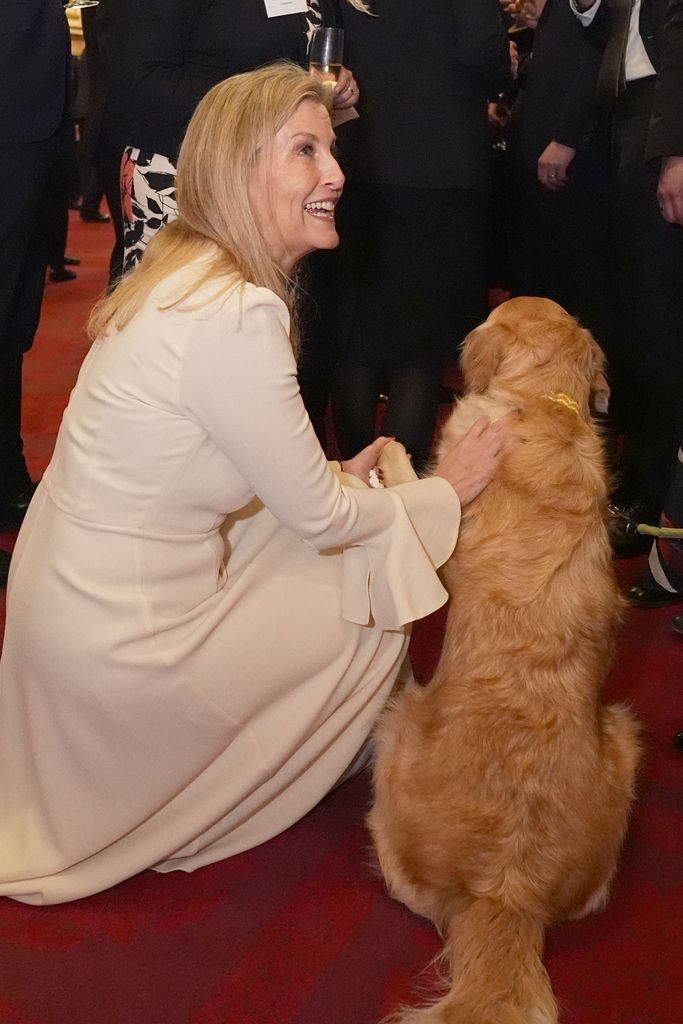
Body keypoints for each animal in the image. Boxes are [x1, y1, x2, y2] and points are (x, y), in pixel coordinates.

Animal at [368, 296, 643, 1024]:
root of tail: (506, 897)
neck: (543, 401)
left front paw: (391, 451)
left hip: (399, 724)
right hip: (624, 737)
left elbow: (420, 481)